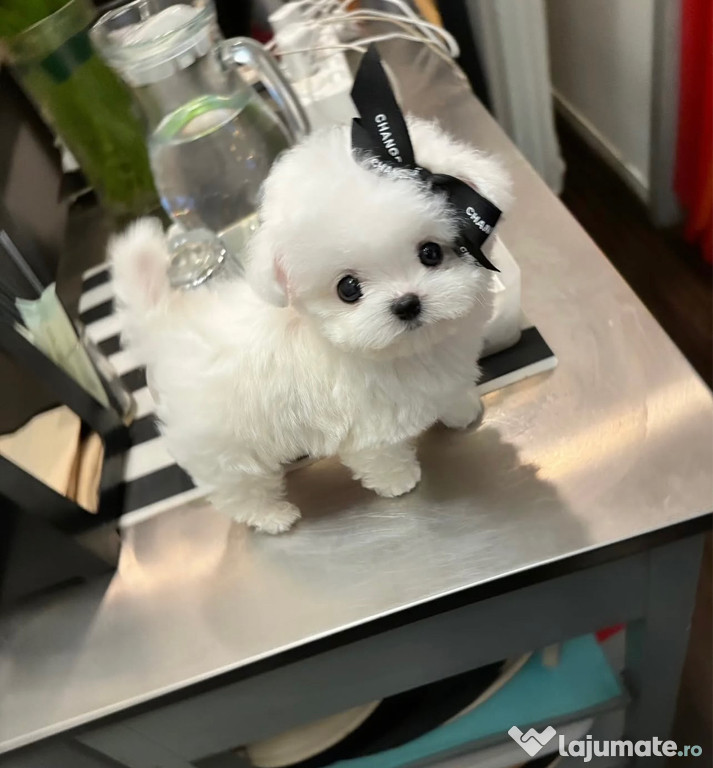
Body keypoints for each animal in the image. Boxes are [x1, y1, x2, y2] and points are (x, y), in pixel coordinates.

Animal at [110, 117, 511, 533]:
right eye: (348, 289)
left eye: (431, 252)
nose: (406, 303)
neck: (411, 351)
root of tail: (168, 325)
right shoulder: (367, 427)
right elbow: (380, 457)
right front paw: (400, 481)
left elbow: (450, 393)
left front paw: (463, 411)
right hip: (224, 449)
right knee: (240, 490)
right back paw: (274, 516)